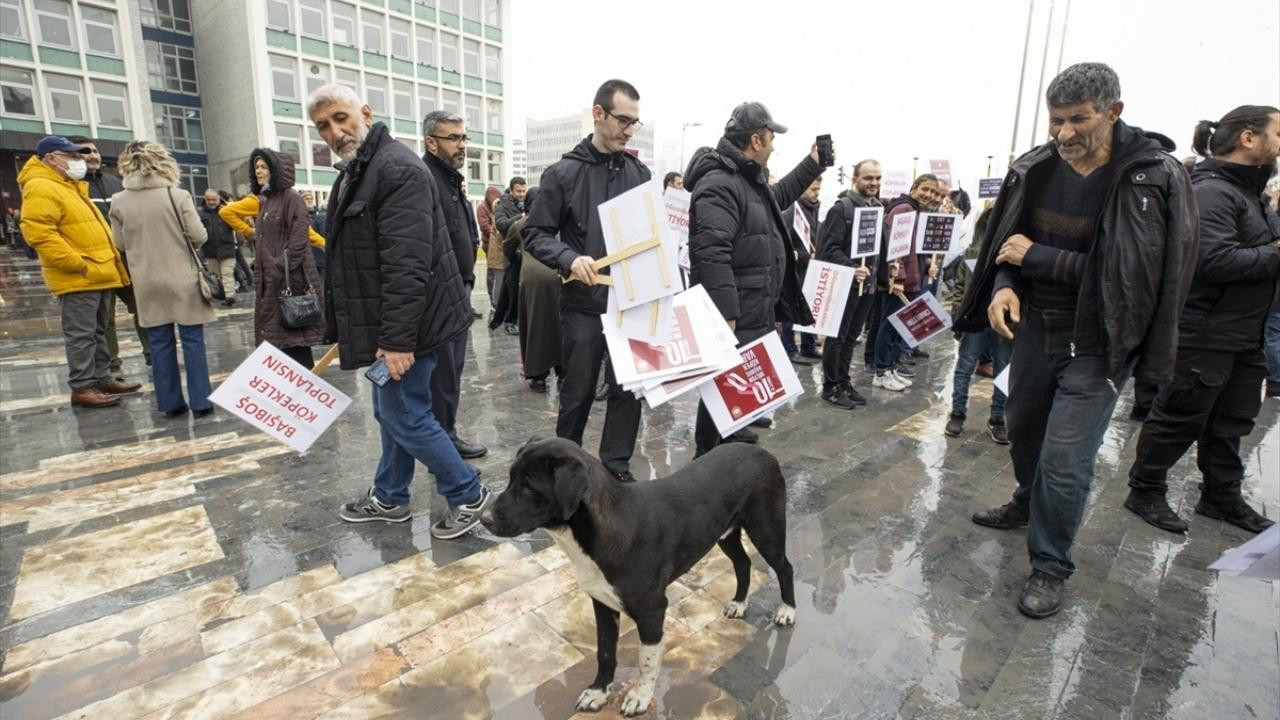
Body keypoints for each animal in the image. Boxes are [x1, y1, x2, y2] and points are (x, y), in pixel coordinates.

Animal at [481, 438, 793, 712]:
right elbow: (605, 651)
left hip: (766, 528)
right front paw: (598, 692)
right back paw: (739, 603)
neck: (598, 532)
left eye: (529, 487)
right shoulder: (603, 602)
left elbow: (647, 660)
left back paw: (787, 611)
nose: (484, 520)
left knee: (785, 567)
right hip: (725, 533)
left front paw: (640, 697)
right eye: (510, 478)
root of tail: (761, 451)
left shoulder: (652, 610)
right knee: (743, 563)